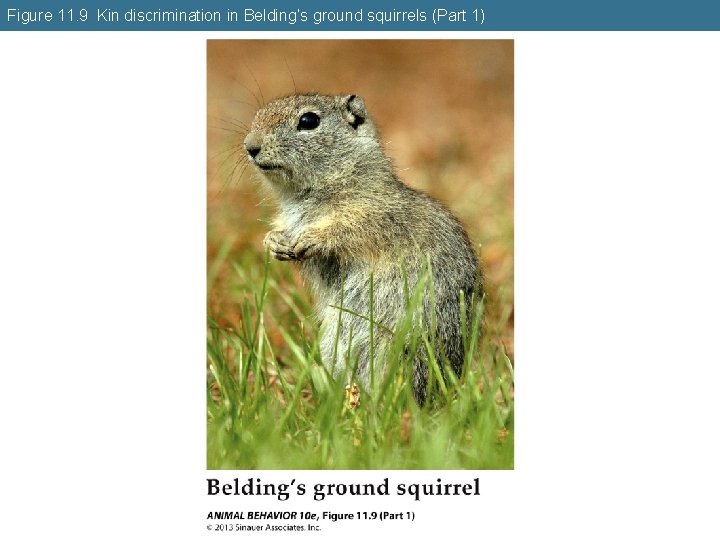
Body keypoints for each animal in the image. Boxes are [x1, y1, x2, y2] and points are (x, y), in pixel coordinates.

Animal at [244, 93, 481, 405]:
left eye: (308, 120)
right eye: (259, 113)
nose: (250, 146)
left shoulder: (370, 216)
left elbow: (345, 230)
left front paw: (310, 239)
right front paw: (274, 242)